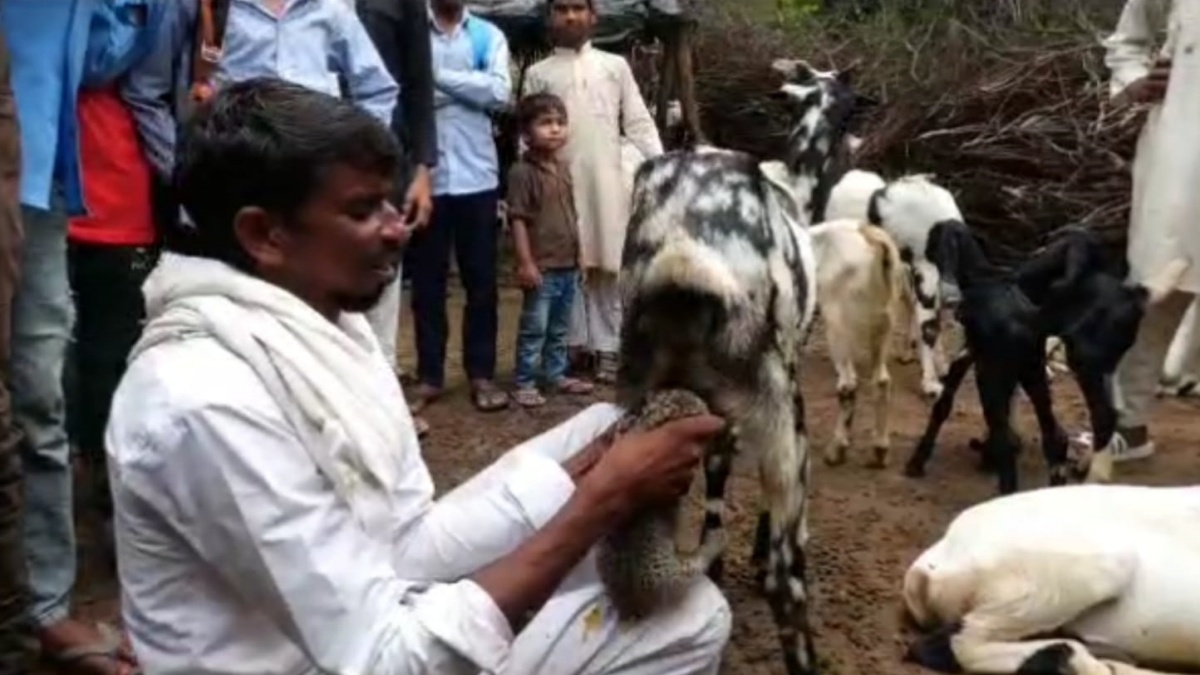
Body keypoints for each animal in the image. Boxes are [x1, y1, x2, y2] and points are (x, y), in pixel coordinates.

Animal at [806, 218, 902, 466]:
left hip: (839, 330)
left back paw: (836, 449)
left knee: (848, 385)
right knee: (882, 381)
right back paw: (880, 448)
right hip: (884, 330)